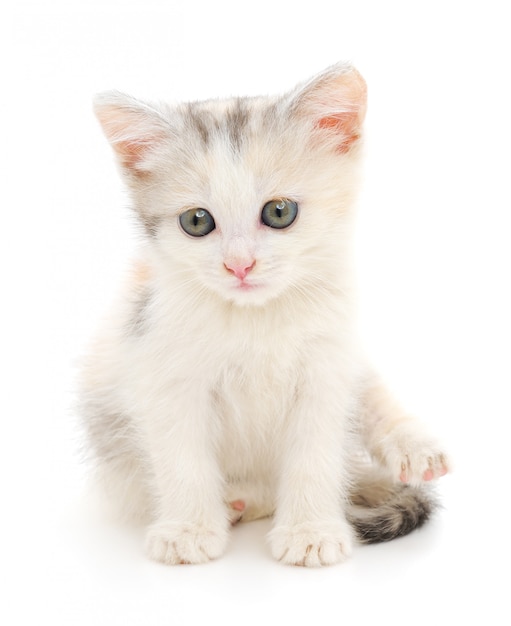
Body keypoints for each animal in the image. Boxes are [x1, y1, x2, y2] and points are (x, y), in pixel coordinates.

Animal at [80, 63, 448, 564]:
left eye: (278, 212)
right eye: (196, 221)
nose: (239, 265)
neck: (255, 318)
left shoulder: (327, 368)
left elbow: (315, 455)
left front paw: (310, 531)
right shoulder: (161, 367)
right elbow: (182, 457)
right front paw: (189, 528)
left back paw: (412, 446)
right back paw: (240, 499)